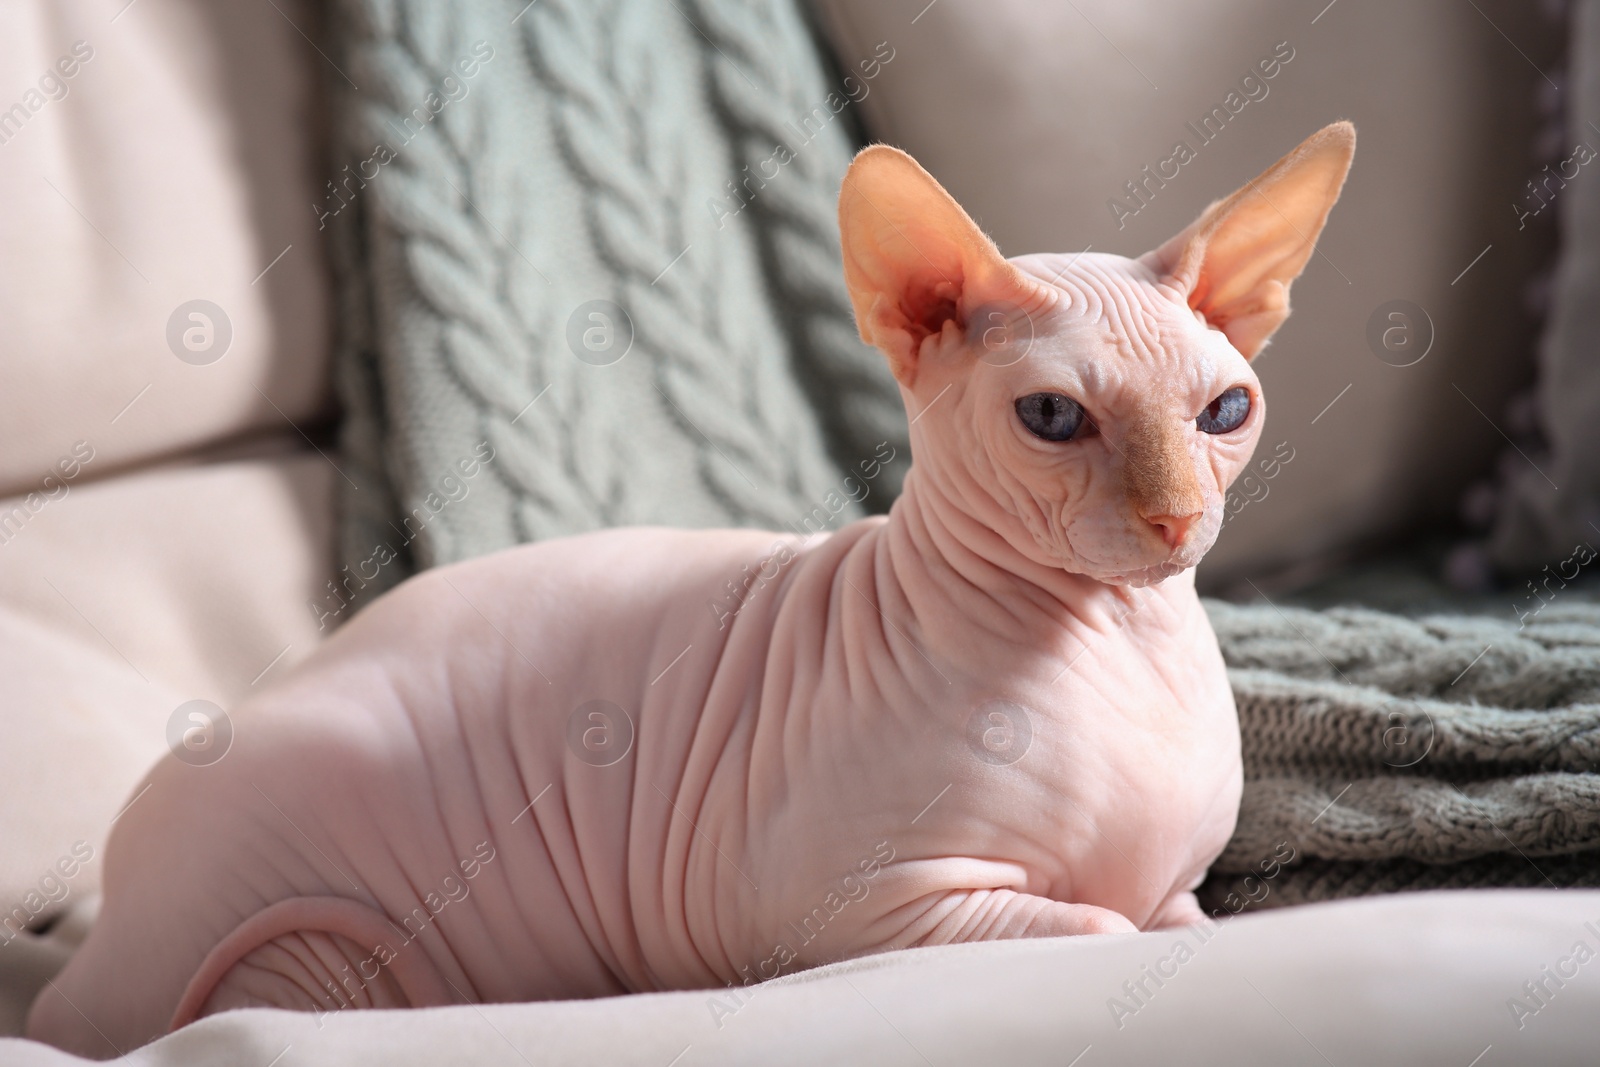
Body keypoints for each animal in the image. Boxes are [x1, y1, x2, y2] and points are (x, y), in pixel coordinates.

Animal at [31, 120, 1350, 1055]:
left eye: (1225, 410)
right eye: (1053, 418)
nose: (1175, 516)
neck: (1113, 637)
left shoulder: (1174, 888)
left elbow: (1177, 919)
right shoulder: (858, 914)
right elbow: (1098, 924)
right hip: (312, 930)